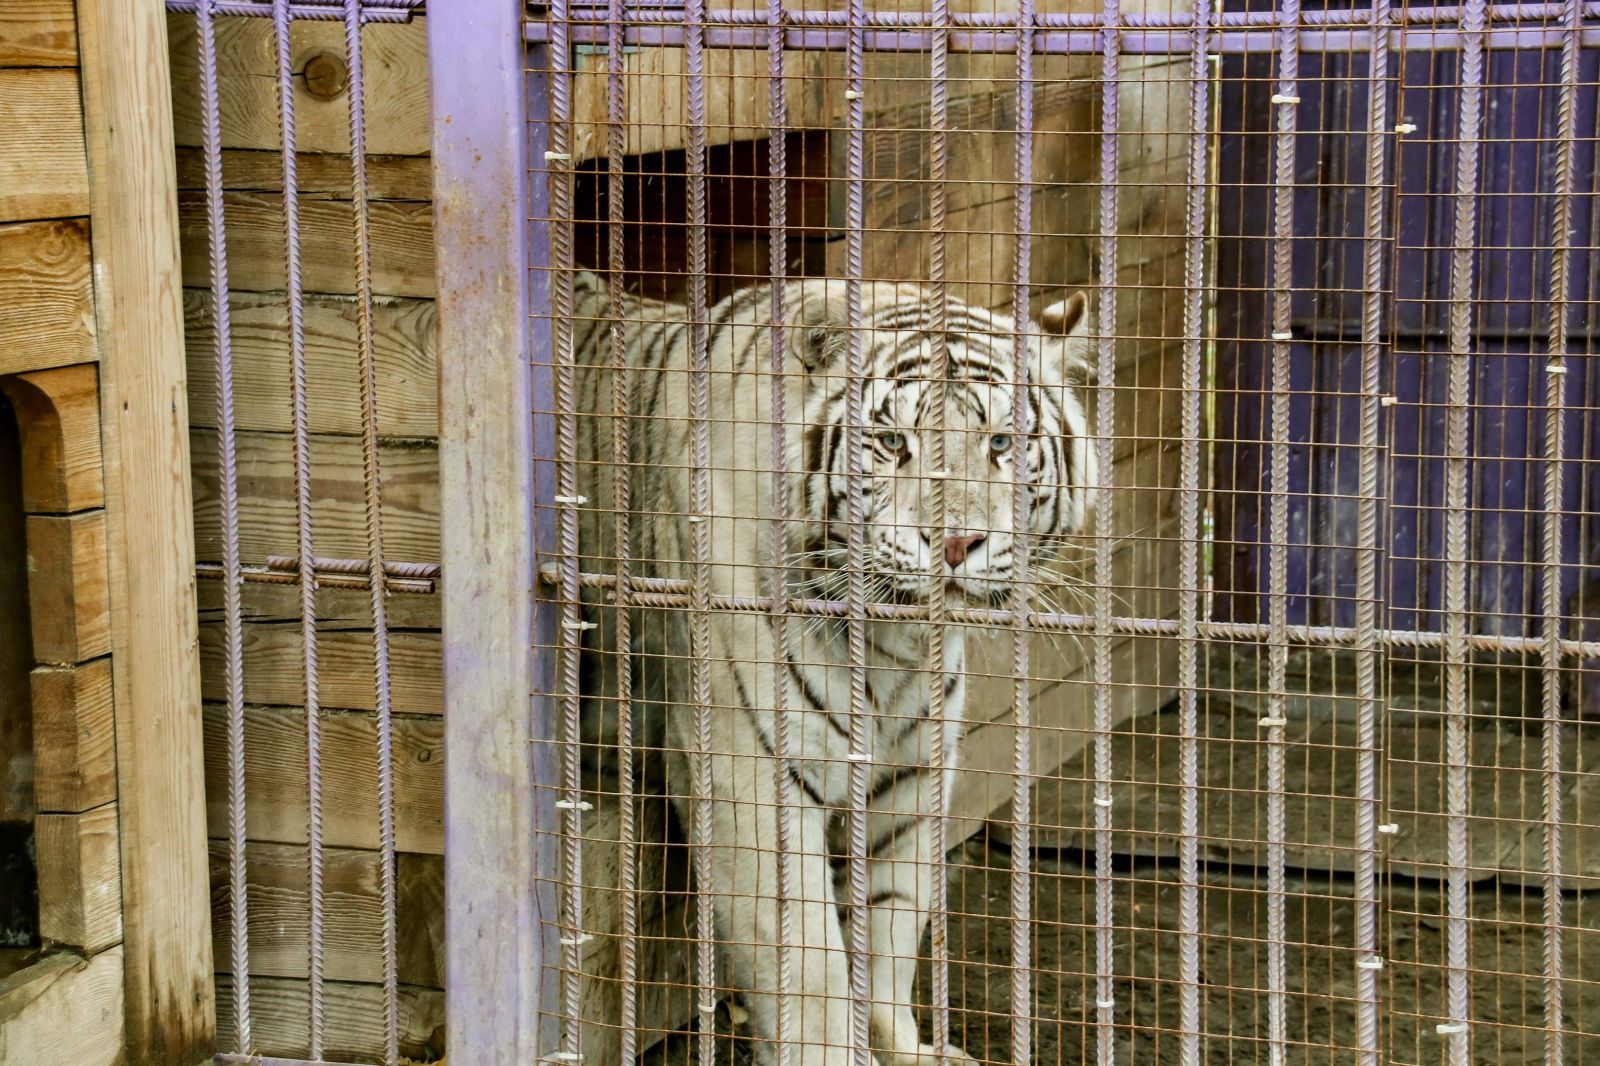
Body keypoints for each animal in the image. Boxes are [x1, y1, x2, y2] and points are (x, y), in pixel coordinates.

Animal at [566, 267, 1100, 1066]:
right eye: (892, 442)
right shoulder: (750, 769)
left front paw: (903, 1046)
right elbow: (806, 958)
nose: (954, 542)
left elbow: (889, 926)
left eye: (1002, 441)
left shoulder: (914, 775)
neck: (890, 643)